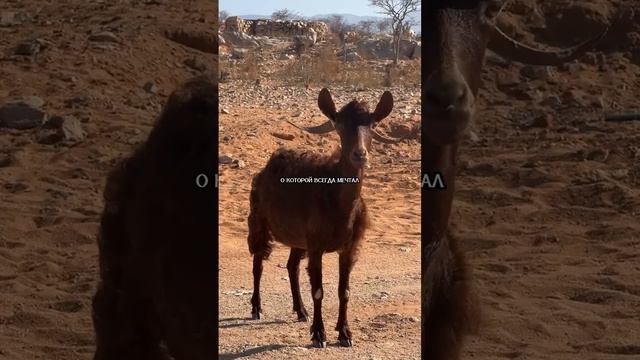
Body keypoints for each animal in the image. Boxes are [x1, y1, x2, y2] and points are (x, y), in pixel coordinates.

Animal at [250, 88, 396, 348]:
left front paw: (345, 333)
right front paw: (319, 334)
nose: (360, 154)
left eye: (372, 124)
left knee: (292, 266)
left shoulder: (349, 247)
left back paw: (301, 311)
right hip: (260, 221)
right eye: (339, 124)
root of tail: (263, 171)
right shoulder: (316, 246)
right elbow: (318, 290)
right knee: (258, 263)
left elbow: (344, 291)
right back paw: (257, 308)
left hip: (298, 238)